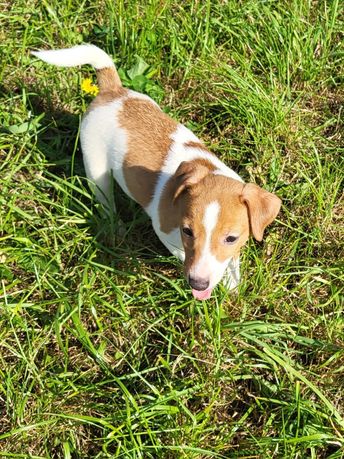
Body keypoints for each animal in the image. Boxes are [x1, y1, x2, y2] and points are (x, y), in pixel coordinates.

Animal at [30, 44, 280, 302]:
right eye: (187, 231)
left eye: (231, 238)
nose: (198, 283)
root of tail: (112, 90)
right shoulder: (165, 232)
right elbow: (182, 254)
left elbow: (232, 261)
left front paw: (231, 284)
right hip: (96, 167)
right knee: (105, 201)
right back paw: (117, 227)